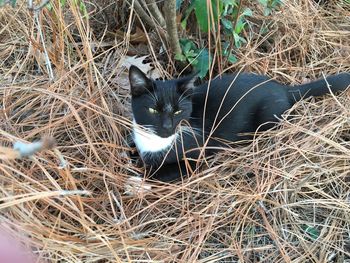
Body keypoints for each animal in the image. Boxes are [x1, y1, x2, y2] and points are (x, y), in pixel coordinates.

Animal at [129, 65, 350, 183]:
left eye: (178, 111)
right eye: (153, 110)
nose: (167, 128)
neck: (155, 142)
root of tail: (284, 88)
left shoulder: (199, 155)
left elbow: (157, 172)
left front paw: (137, 179)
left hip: (268, 118)